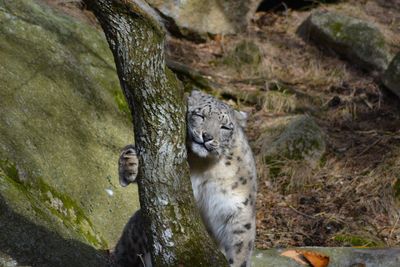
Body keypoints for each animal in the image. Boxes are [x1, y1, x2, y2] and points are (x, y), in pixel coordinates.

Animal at [113, 91, 256, 266]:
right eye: (200, 115)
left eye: (225, 127)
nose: (207, 136)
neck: (203, 164)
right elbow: (130, 150)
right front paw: (129, 166)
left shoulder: (237, 208)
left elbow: (240, 249)